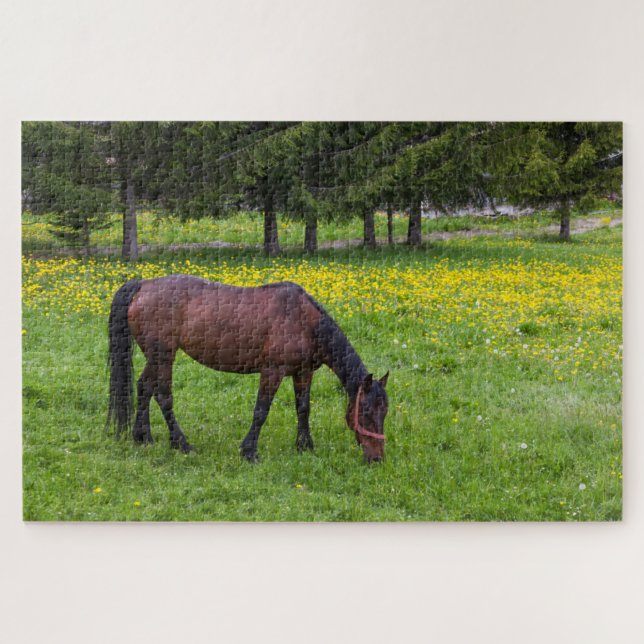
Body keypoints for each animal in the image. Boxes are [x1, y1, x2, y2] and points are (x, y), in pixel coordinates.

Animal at [106, 275, 389, 463]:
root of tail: (143, 285)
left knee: (144, 387)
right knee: (163, 396)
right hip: (163, 356)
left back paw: (143, 437)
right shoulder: (273, 371)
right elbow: (261, 411)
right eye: (365, 411)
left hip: (156, 358)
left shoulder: (303, 373)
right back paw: (181, 444)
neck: (303, 321)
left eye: (384, 412)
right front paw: (249, 451)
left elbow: (303, 409)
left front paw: (304, 446)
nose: (377, 458)